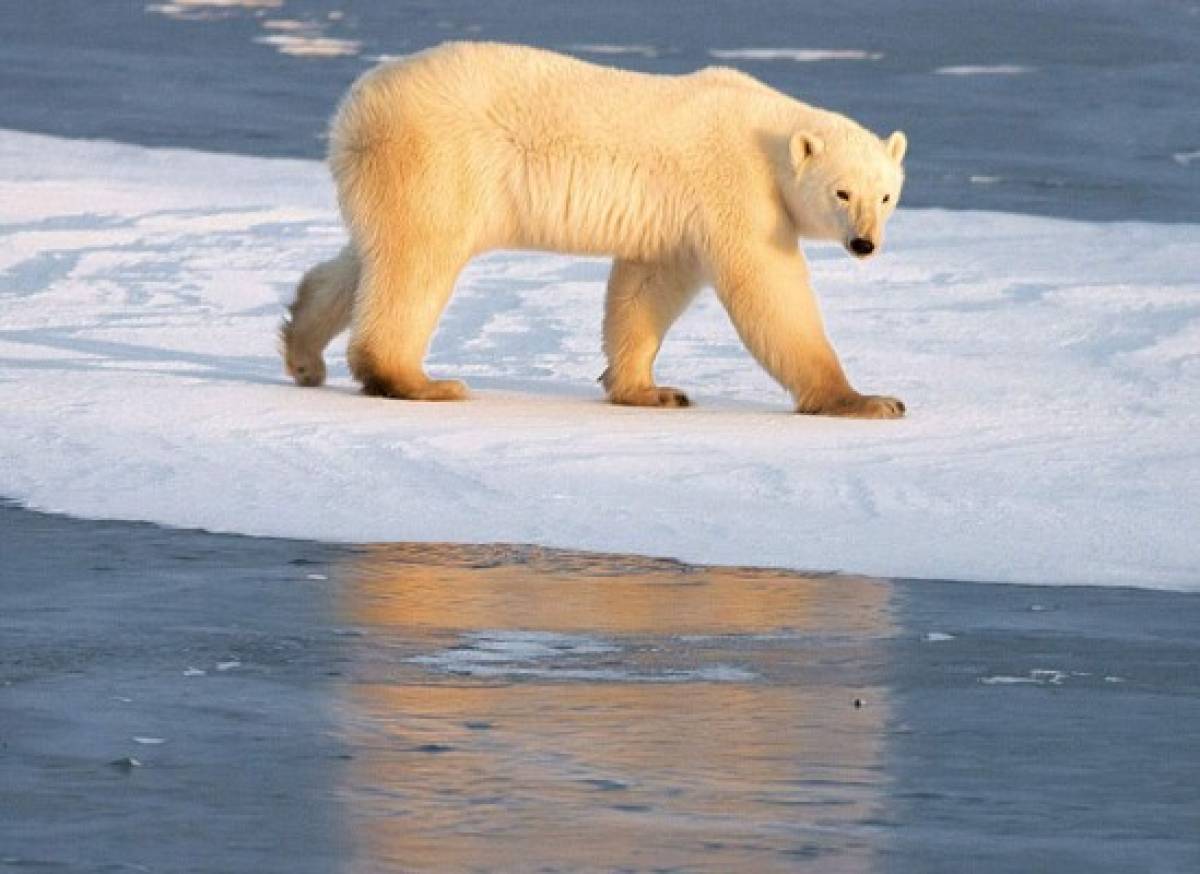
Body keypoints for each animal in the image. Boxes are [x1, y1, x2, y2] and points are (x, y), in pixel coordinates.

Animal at [283, 42, 907, 417]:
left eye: (885, 195)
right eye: (842, 192)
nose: (864, 243)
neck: (768, 135)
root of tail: (352, 110)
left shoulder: (677, 220)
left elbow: (645, 289)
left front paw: (650, 389)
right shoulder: (738, 189)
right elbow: (771, 293)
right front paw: (868, 400)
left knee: (368, 257)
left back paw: (305, 354)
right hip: (438, 157)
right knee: (418, 262)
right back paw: (420, 381)